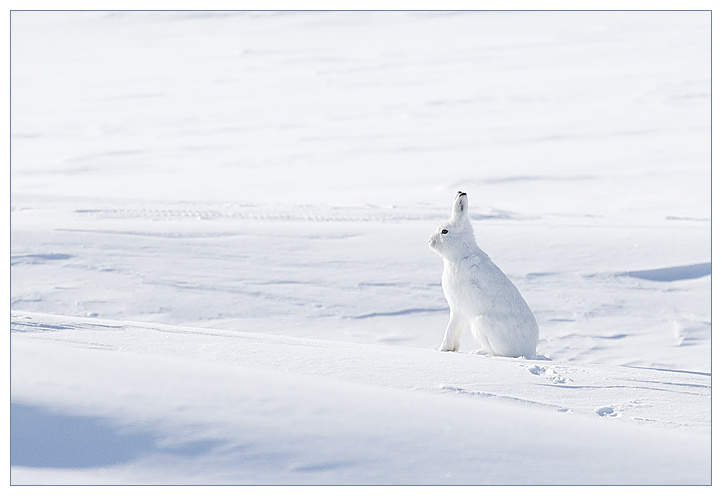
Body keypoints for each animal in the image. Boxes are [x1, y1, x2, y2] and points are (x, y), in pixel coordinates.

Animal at [428, 191, 538, 357]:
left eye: (444, 231)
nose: (430, 241)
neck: (461, 254)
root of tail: (528, 351)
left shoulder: (457, 307)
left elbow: (451, 330)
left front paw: (442, 349)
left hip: (481, 323)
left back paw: (478, 352)